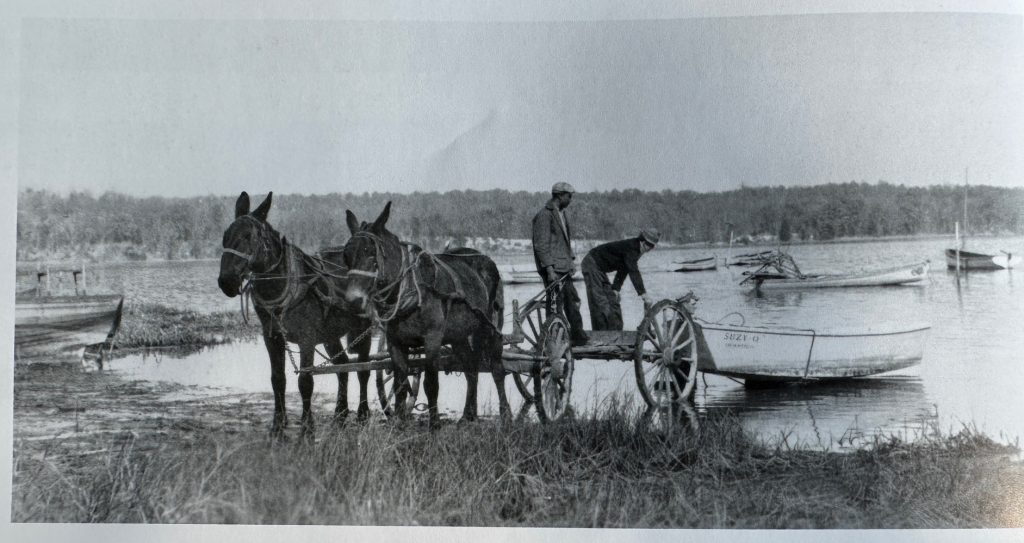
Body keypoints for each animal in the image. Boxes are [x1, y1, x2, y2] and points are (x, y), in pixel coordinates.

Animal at [217, 191, 374, 439]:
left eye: (248, 236)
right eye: (225, 236)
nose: (226, 281)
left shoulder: (306, 339)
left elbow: (305, 381)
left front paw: (307, 427)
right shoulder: (272, 338)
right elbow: (277, 379)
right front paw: (277, 425)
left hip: (363, 327)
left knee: (363, 369)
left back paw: (363, 414)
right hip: (330, 335)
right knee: (342, 367)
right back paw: (340, 414)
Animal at [340, 202, 511, 427]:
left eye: (370, 252)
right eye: (346, 255)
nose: (353, 300)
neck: (411, 289)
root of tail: (485, 258)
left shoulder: (432, 339)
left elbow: (431, 384)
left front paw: (435, 424)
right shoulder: (394, 341)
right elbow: (400, 384)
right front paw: (400, 424)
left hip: (490, 326)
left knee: (497, 369)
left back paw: (506, 415)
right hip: (459, 335)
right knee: (471, 368)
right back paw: (468, 415)